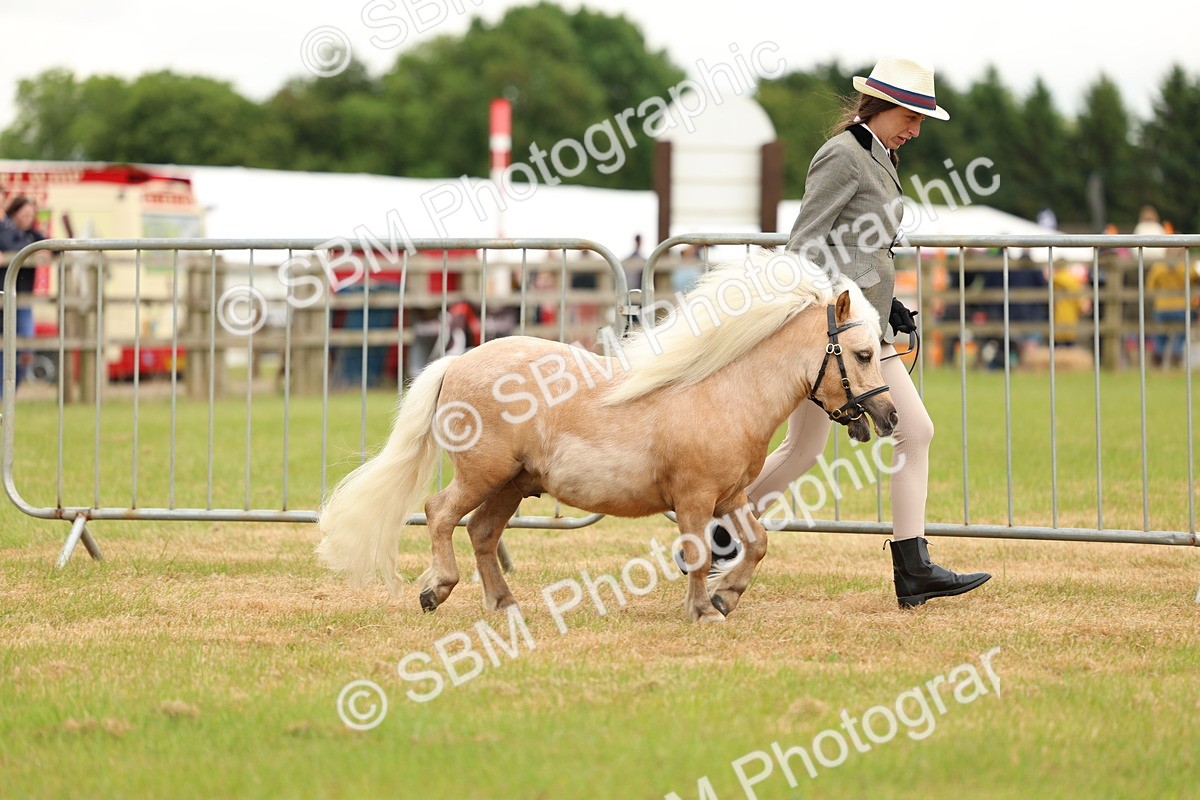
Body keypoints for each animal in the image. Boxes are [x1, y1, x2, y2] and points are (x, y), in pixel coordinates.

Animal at [316, 250, 898, 622]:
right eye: (863, 354)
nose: (889, 416)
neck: (725, 392)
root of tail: (456, 362)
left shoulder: (729, 496)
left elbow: (756, 545)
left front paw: (725, 599)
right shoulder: (693, 499)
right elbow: (699, 554)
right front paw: (703, 610)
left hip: (512, 484)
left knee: (481, 532)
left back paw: (505, 604)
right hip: (485, 473)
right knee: (439, 513)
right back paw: (436, 590)